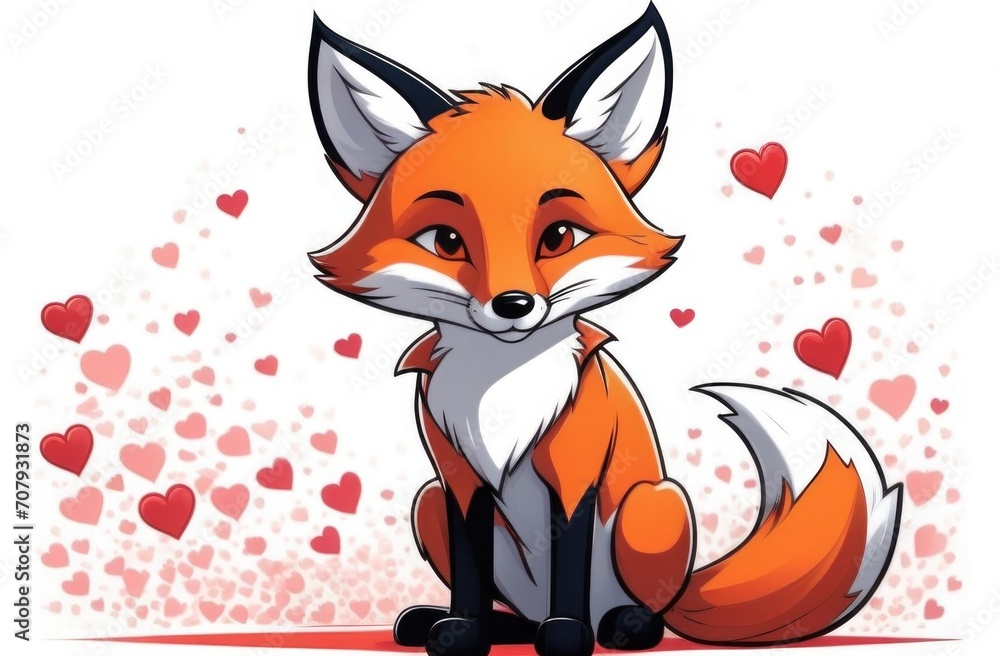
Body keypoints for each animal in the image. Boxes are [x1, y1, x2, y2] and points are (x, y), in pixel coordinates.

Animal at [305, 5, 902, 656]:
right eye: (446, 241)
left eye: (558, 237)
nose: (513, 305)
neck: (503, 383)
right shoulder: (459, 482)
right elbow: (470, 570)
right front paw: (462, 630)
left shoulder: (575, 473)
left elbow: (570, 557)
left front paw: (567, 635)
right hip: (427, 505)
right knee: (512, 603)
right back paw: (483, 625)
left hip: (650, 508)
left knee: (645, 608)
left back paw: (618, 625)